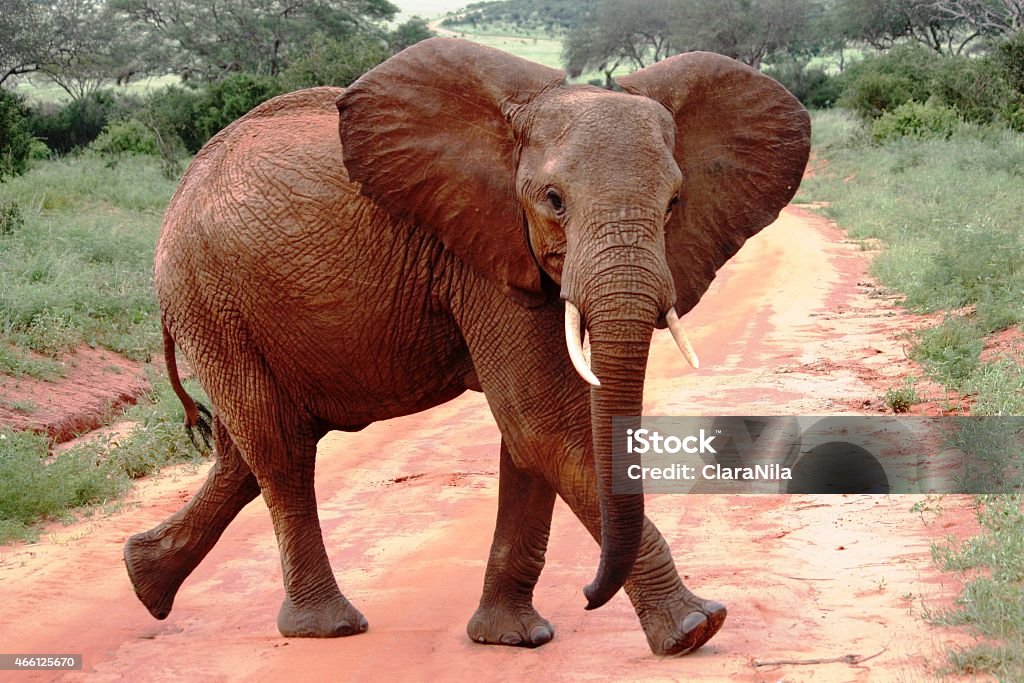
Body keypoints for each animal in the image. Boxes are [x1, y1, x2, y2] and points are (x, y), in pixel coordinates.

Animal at [121, 37, 806, 655]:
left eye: (674, 204)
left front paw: (511, 638)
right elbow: (541, 422)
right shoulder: (478, 249)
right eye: (554, 201)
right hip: (208, 295)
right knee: (280, 447)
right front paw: (695, 629)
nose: (589, 594)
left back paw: (144, 581)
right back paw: (327, 627)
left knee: (247, 451)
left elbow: (528, 441)